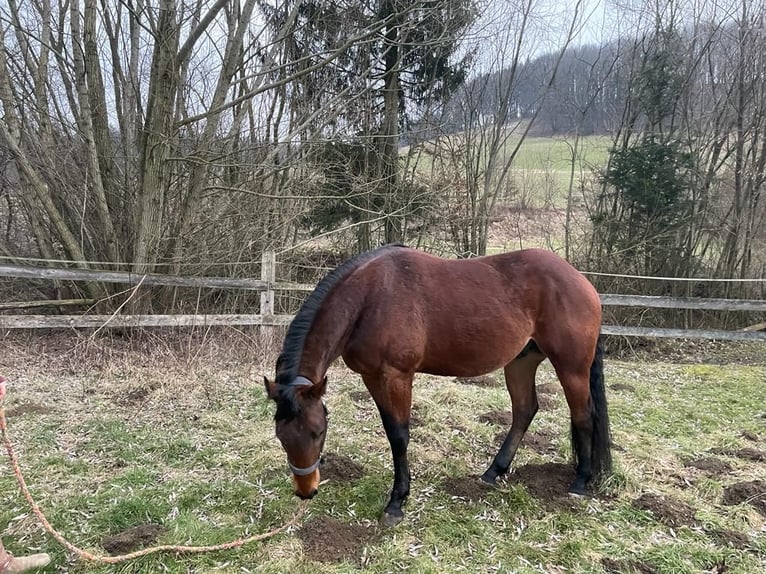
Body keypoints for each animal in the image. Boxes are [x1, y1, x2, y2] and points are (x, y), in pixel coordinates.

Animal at [264, 244, 611, 527]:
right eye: (281, 436)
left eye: (317, 432)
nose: (306, 491)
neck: (368, 297)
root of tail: (582, 282)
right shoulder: (372, 377)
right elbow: (390, 430)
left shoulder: (397, 376)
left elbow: (399, 436)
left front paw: (397, 503)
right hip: (520, 362)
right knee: (525, 410)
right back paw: (493, 472)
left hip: (572, 367)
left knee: (582, 415)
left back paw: (580, 482)